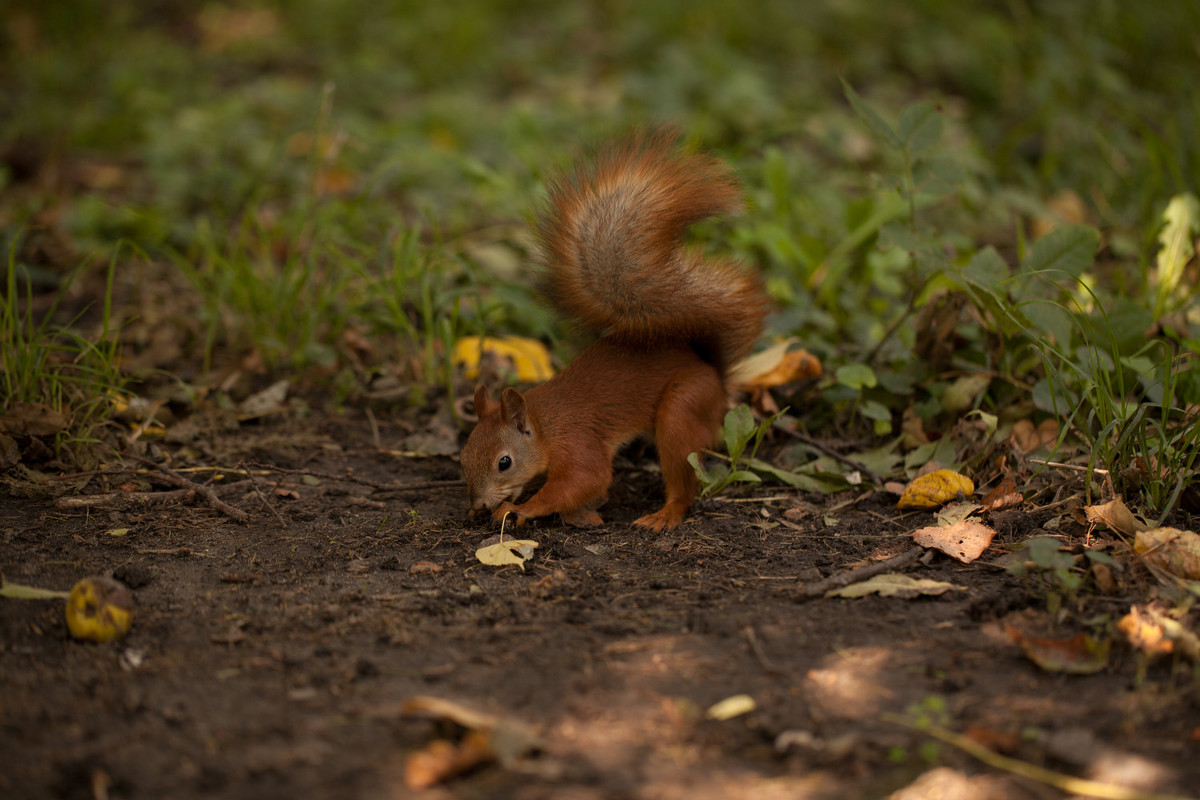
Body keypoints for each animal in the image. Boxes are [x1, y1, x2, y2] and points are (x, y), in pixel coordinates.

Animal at [458, 130, 768, 532]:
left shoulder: (578, 443)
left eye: (504, 462)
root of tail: (712, 372)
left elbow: (585, 478)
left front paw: (519, 509)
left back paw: (666, 514)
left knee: (683, 478)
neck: (544, 423)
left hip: (683, 407)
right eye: (463, 456)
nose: (478, 504)